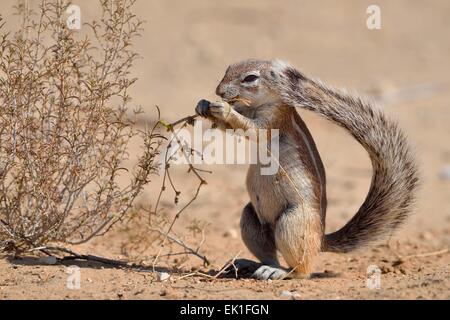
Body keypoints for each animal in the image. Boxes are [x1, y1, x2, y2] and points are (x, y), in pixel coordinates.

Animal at [195, 58, 420, 278]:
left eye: (250, 78)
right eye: (228, 69)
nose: (219, 91)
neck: (256, 105)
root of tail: (320, 239)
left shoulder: (274, 119)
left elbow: (252, 129)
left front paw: (224, 109)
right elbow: (229, 127)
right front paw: (203, 105)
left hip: (292, 222)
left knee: (302, 270)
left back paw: (279, 272)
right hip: (251, 218)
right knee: (269, 253)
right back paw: (252, 264)